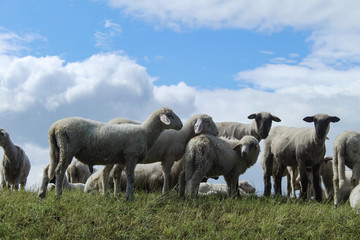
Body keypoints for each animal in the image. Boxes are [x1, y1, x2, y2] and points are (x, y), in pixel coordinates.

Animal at [38, 107, 183, 201]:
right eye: (170, 116)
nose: (181, 125)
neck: (145, 133)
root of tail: (54, 127)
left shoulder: (123, 159)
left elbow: (118, 176)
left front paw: (122, 195)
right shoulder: (131, 157)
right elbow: (131, 178)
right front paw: (129, 197)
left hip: (57, 149)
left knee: (48, 169)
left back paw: (42, 194)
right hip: (67, 147)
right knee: (59, 170)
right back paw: (58, 195)